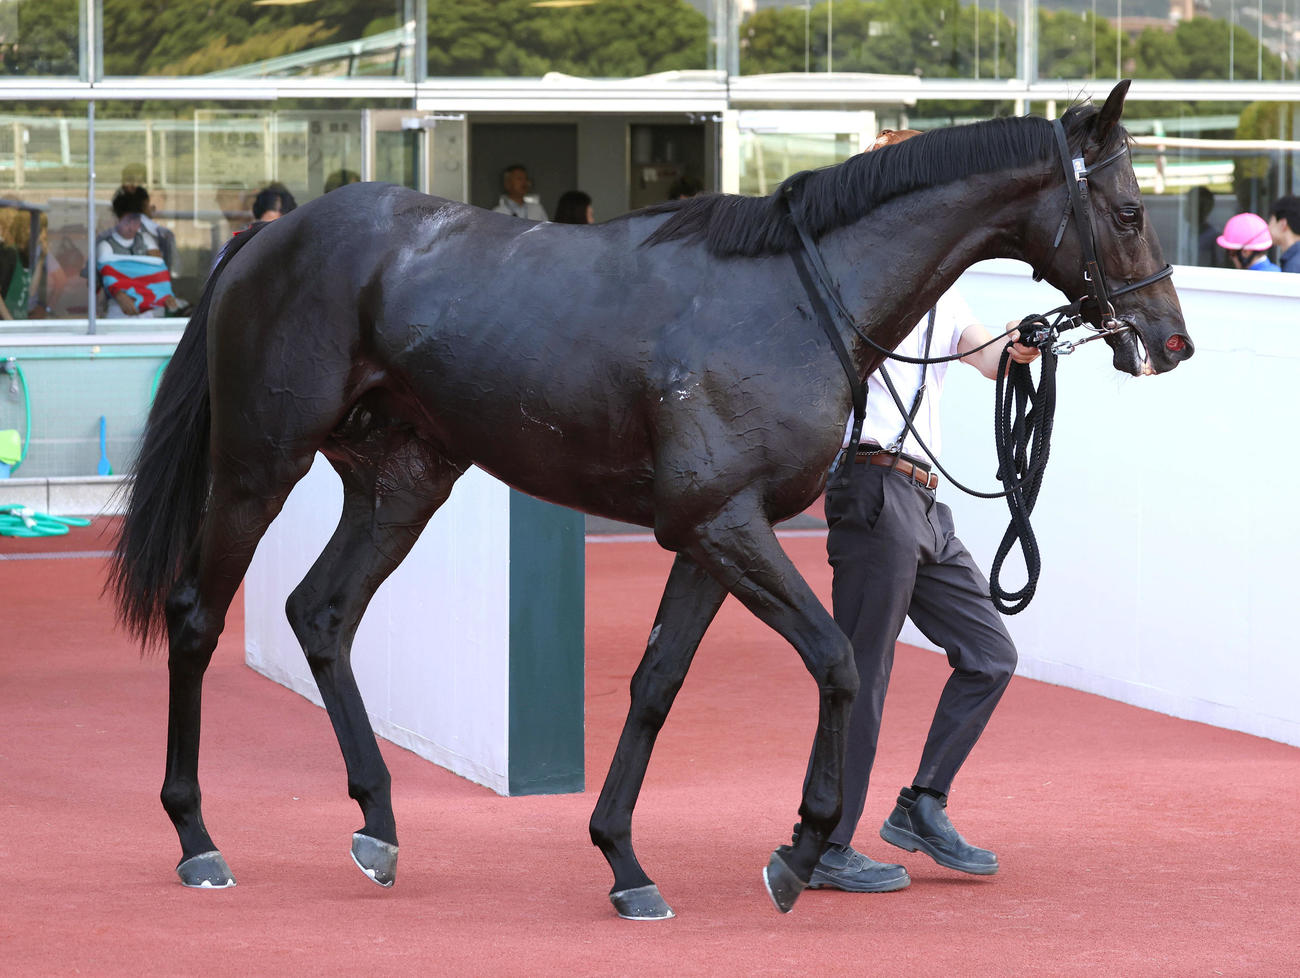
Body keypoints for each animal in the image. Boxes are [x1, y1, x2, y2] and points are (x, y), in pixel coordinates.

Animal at [110, 80, 1192, 919]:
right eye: (1131, 213)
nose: (1171, 340)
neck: (794, 298)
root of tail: (263, 239)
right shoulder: (725, 525)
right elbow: (839, 661)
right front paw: (799, 850)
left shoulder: (711, 536)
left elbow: (655, 685)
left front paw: (624, 861)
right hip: (257, 465)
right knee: (197, 617)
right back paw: (196, 837)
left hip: (401, 483)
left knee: (322, 613)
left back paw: (377, 823)